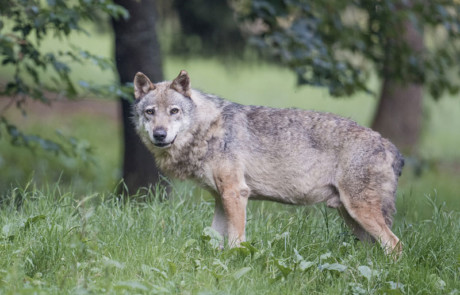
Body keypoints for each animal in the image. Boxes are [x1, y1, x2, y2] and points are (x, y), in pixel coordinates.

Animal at [131, 70, 404, 256]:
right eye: (150, 112)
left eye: (174, 111)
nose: (159, 134)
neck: (207, 130)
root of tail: (389, 145)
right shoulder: (221, 197)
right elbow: (214, 239)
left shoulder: (236, 193)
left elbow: (236, 240)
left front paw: (236, 261)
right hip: (352, 218)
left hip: (359, 212)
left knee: (395, 245)